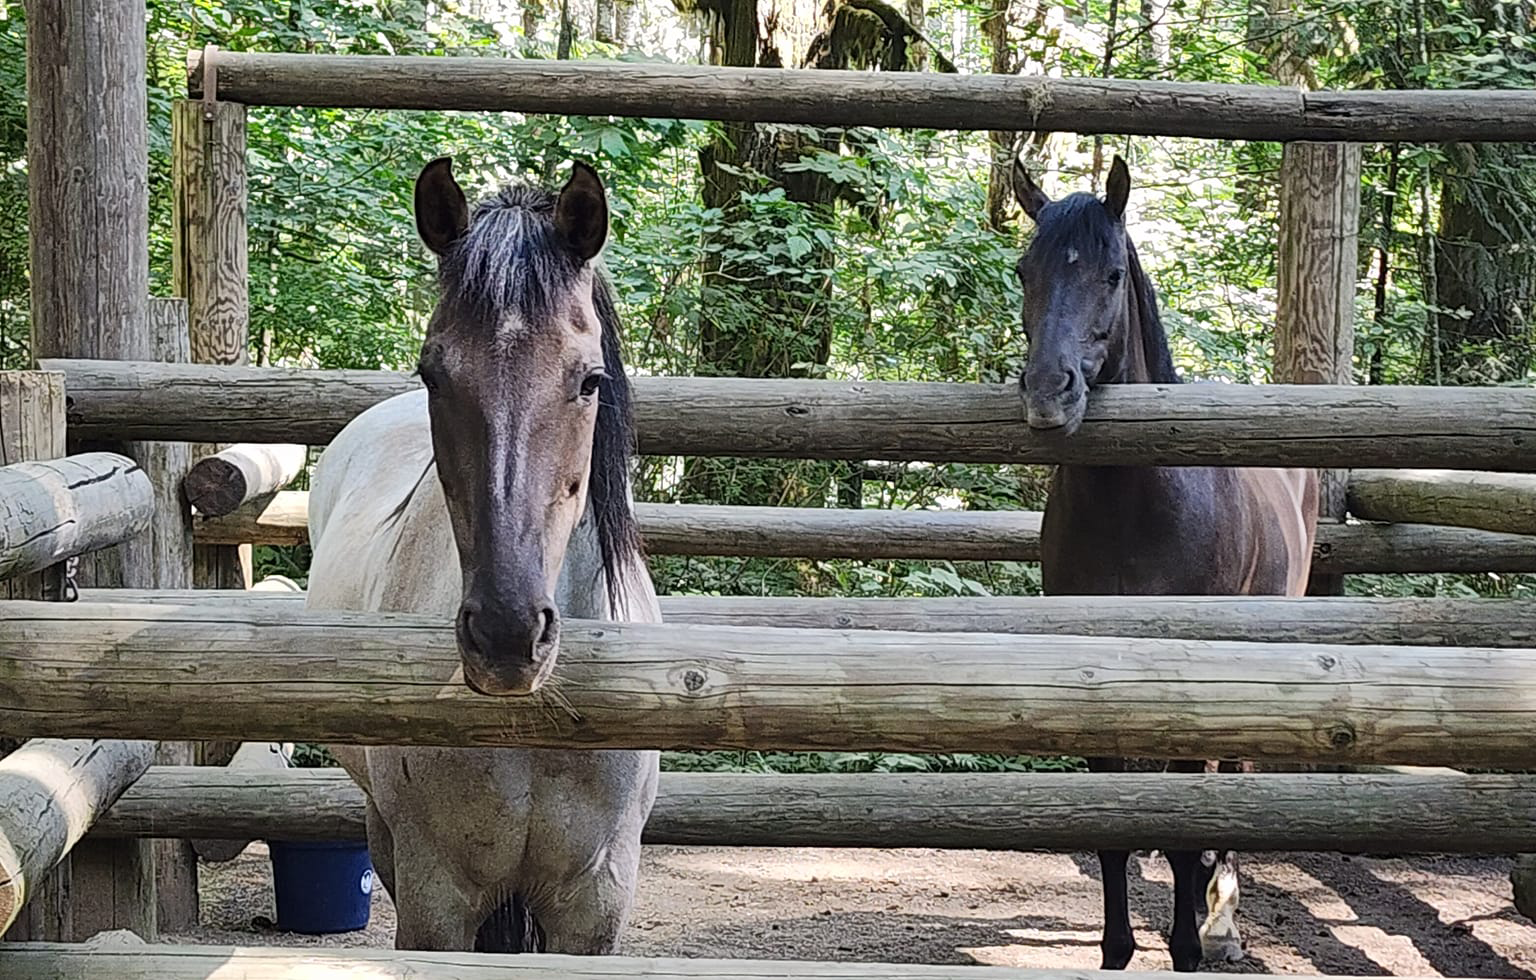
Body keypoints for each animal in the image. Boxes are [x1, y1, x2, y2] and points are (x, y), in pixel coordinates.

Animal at [1007, 153, 1320, 976]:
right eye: (1024, 269)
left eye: (1113, 273)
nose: (1048, 393)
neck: (1137, 508)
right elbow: (1113, 832)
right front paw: (1118, 948)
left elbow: (1187, 835)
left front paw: (1185, 943)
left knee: (1231, 783)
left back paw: (1222, 923)